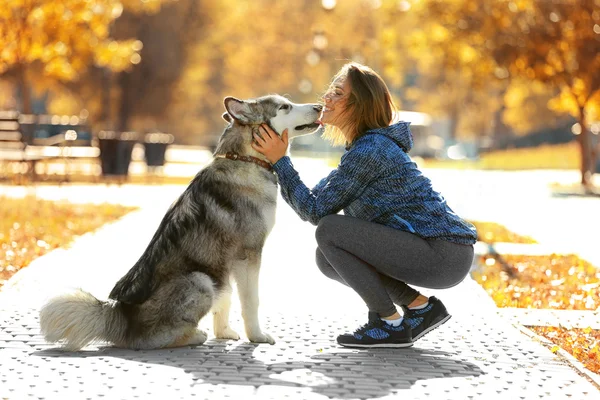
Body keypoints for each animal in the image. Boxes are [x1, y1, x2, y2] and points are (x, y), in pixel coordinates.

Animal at [39, 95, 324, 348]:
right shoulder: (249, 254)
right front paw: (257, 336)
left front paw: (224, 333)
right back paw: (192, 336)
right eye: (285, 107)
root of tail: (120, 314)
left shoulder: (226, 263)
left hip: (210, 276)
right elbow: (251, 301)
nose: (320, 106)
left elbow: (227, 298)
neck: (246, 159)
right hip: (200, 280)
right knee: (150, 340)